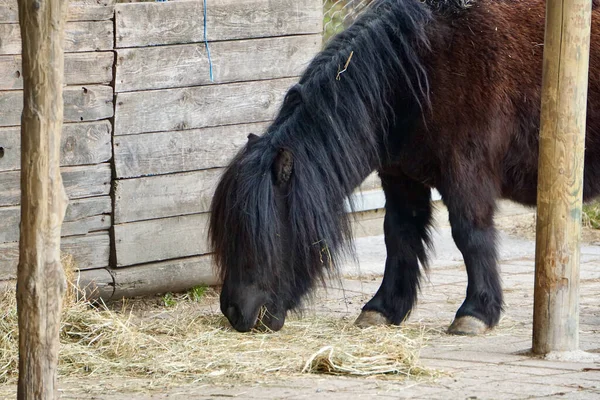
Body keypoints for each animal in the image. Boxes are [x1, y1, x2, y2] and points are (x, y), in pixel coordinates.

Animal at [209, 0, 600, 334]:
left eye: (263, 233)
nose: (234, 311)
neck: (421, 67)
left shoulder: (466, 172)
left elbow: (470, 234)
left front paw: (476, 312)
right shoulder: (401, 177)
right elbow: (399, 234)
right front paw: (383, 308)